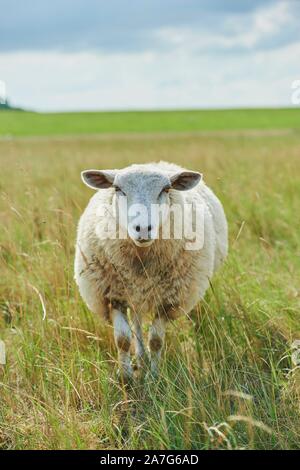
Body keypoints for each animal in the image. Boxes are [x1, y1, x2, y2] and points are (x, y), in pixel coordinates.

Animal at [74, 161, 227, 378]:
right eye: (118, 189)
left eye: (166, 189)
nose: (144, 228)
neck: (141, 260)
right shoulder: (112, 296)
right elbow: (123, 340)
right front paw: (127, 378)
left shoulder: (168, 300)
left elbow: (156, 341)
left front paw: (154, 377)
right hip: (131, 293)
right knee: (136, 323)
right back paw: (140, 358)